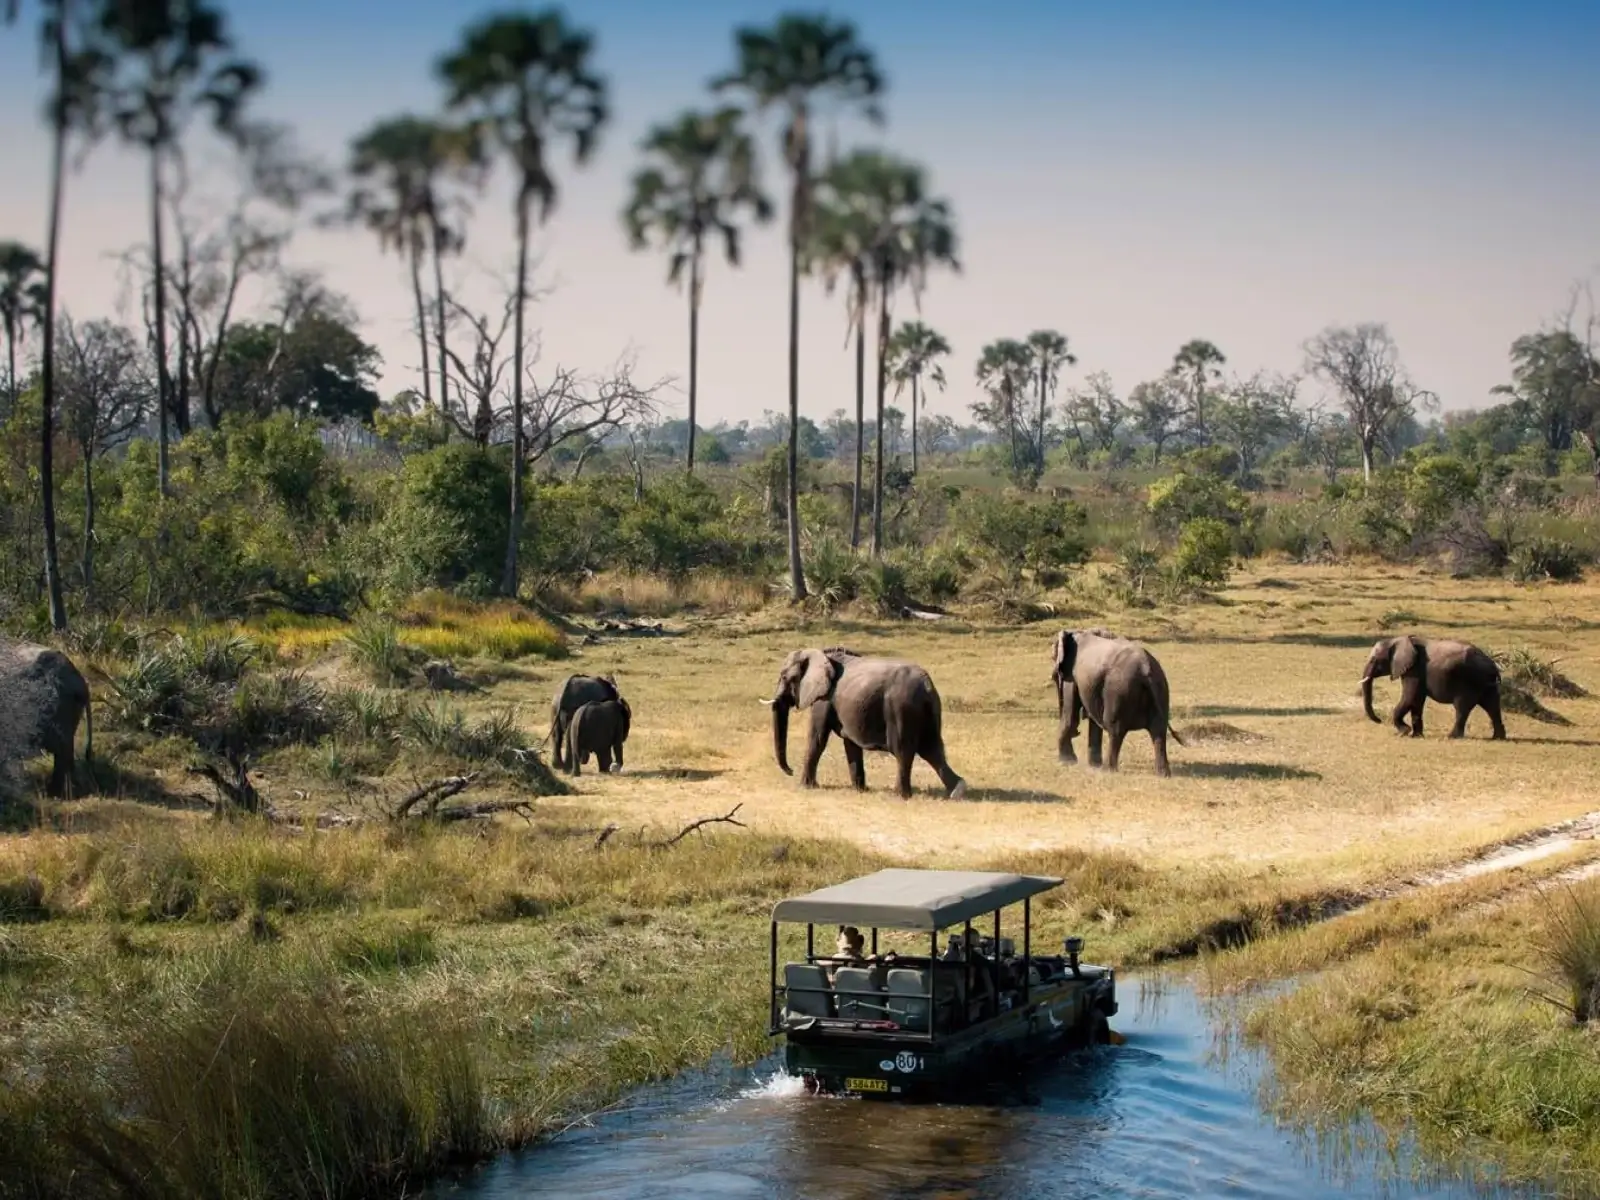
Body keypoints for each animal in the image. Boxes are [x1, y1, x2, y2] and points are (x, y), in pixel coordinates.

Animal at [765, 648, 966, 799]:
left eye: (785, 677)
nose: (790, 771)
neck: (822, 654)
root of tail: (927, 685)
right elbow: (850, 744)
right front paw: (860, 790)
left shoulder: (824, 699)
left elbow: (817, 739)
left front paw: (805, 787)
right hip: (929, 710)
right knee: (932, 750)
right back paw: (957, 791)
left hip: (900, 708)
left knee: (903, 750)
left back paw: (899, 795)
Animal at [1052, 629, 1182, 776]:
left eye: (1054, 676)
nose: (1077, 733)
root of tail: (1145, 668)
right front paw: (1090, 765)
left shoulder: (1072, 677)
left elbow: (1071, 717)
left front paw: (1067, 762)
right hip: (1161, 690)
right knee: (1158, 730)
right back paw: (1163, 774)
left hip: (1119, 691)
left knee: (1115, 729)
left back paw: (1107, 770)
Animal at [1360, 635, 1505, 739]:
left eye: (1374, 660)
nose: (1379, 720)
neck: (1398, 640)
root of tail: (1493, 666)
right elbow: (1417, 701)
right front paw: (1416, 736)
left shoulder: (1414, 670)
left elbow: (1409, 697)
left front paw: (1404, 732)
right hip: (1486, 683)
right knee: (1492, 707)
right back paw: (1498, 738)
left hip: (1470, 681)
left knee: (1462, 708)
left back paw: (1451, 737)